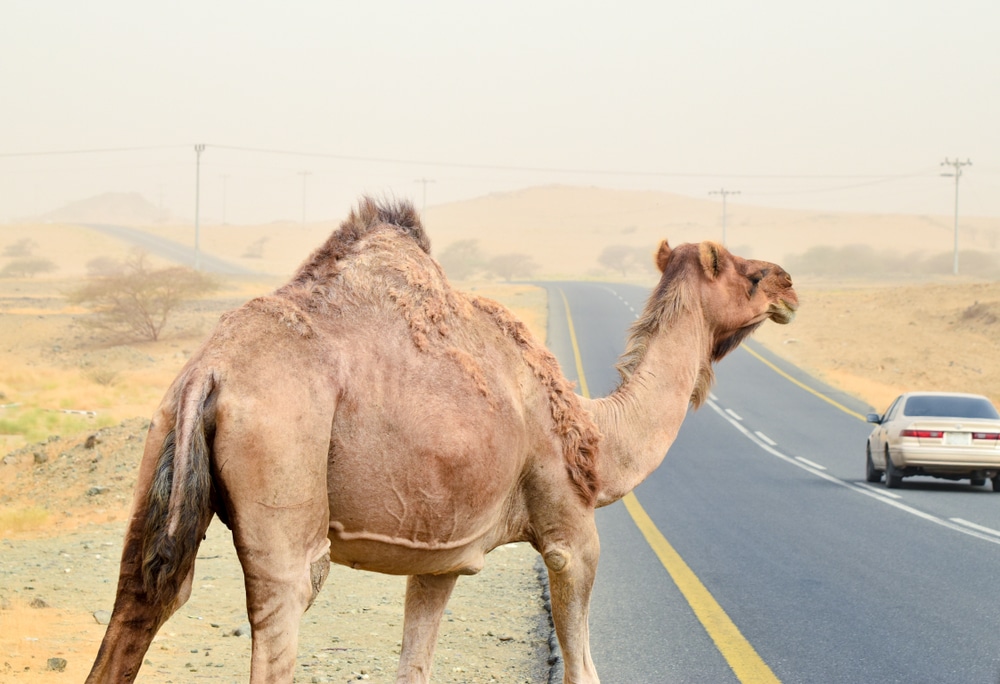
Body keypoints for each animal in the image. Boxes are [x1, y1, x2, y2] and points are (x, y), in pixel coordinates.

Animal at [90, 195, 800, 680]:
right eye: (746, 274)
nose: (789, 282)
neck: (595, 437)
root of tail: (210, 370)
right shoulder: (568, 525)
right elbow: (583, 666)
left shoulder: (442, 556)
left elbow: (415, 664)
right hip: (284, 480)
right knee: (284, 603)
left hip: (162, 447)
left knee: (140, 598)